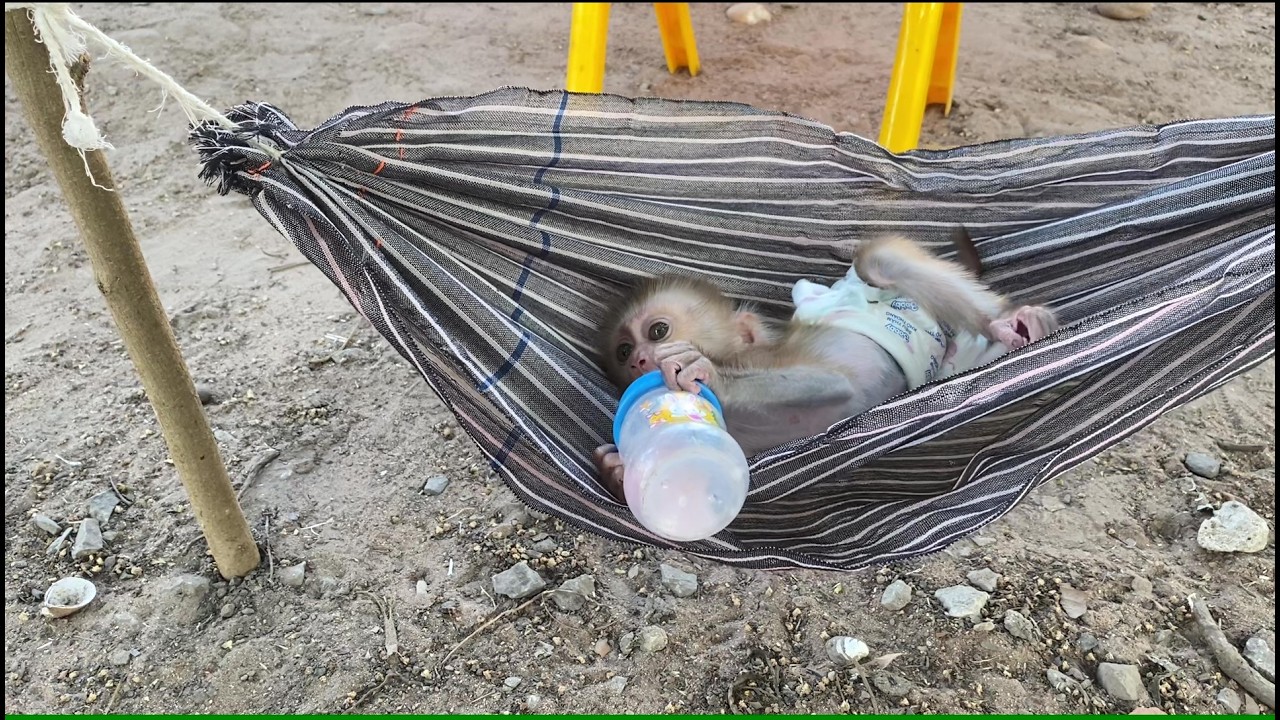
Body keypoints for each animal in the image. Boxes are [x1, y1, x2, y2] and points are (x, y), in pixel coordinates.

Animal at [592, 234, 1059, 500]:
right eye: (623, 352)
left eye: (657, 331)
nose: (639, 359)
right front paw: (617, 469)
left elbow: (835, 383)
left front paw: (705, 372)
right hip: (959, 358)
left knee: (879, 261)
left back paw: (1008, 321)